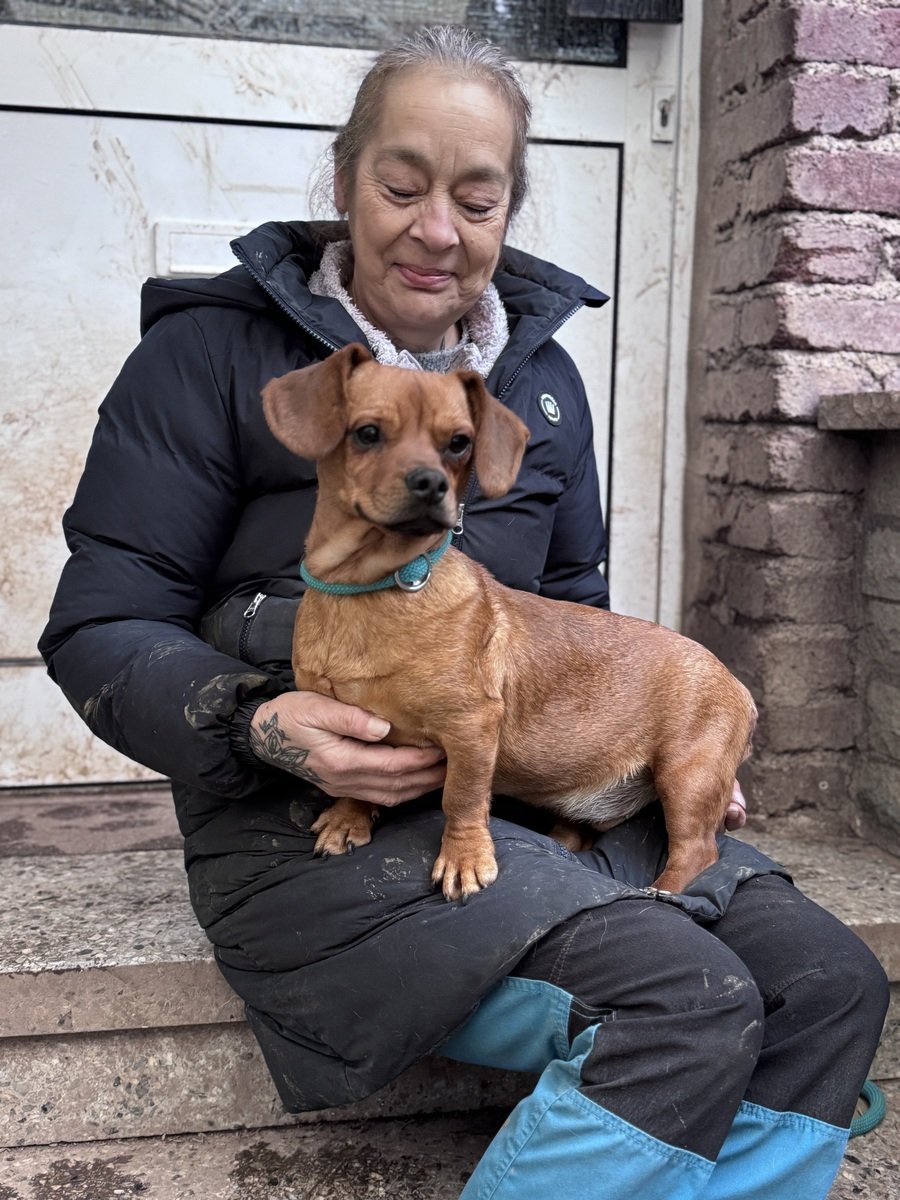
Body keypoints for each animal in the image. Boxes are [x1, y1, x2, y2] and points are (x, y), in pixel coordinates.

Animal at [262, 343, 757, 901]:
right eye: (367, 433)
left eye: (459, 443)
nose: (431, 483)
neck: (373, 586)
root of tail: (738, 685)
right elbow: (349, 782)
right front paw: (349, 818)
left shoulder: (470, 728)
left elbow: (462, 797)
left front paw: (464, 858)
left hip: (688, 774)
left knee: (697, 852)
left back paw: (663, 892)